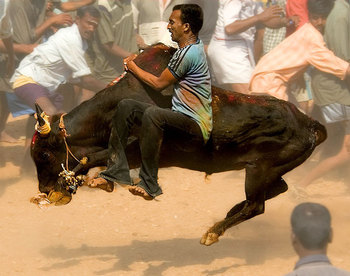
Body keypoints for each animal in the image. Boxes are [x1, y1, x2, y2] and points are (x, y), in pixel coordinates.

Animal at [31, 43, 326, 246]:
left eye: (44, 154)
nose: (44, 189)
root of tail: (310, 123)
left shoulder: (140, 150)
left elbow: (95, 157)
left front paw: (85, 183)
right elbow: (93, 159)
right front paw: (87, 183)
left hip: (258, 170)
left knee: (257, 205)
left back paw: (213, 231)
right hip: (266, 171)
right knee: (277, 189)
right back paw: (230, 211)